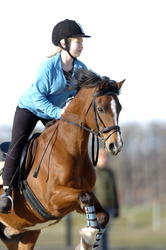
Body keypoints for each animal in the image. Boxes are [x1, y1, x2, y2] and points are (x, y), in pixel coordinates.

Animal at [0, 69, 124, 250]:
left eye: (120, 108)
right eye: (101, 109)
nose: (116, 145)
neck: (70, 149)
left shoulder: (76, 202)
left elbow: (101, 215)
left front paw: (88, 240)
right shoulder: (53, 201)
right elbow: (86, 196)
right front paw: (88, 236)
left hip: (23, 235)